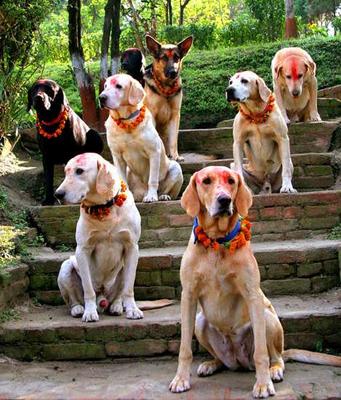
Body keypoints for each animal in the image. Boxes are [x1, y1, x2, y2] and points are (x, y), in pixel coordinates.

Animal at [54, 153, 143, 322]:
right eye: (66, 172)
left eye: (79, 171)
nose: (58, 194)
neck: (104, 207)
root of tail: (102, 299)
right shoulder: (82, 250)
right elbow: (88, 289)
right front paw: (89, 313)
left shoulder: (132, 248)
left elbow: (129, 288)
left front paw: (133, 309)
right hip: (66, 267)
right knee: (74, 299)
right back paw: (78, 309)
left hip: (122, 269)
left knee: (118, 294)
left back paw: (116, 306)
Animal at [98, 73, 183, 203]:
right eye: (105, 86)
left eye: (119, 86)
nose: (101, 97)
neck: (127, 121)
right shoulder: (117, 157)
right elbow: (123, 180)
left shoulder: (154, 152)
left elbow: (152, 179)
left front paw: (152, 196)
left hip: (176, 168)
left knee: (169, 191)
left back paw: (163, 196)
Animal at [143, 33, 193, 161]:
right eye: (164, 58)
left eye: (177, 57)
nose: (173, 72)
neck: (166, 88)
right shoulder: (152, 114)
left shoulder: (175, 115)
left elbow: (173, 139)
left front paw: (176, 156)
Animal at [169, 165, 340, 396]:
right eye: (206, 181)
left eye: (231, 181)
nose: (224, 200)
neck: (217, 242)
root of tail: (238, 361)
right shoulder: (188, 296)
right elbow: (184, 348)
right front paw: (180, 379)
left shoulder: (253, 295)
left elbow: (261, 353)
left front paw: (263, 384)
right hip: (199, 321)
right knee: (220, 358)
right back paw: (211, 364)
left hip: (267, 318)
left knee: (276, 357)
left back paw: (274, 370)